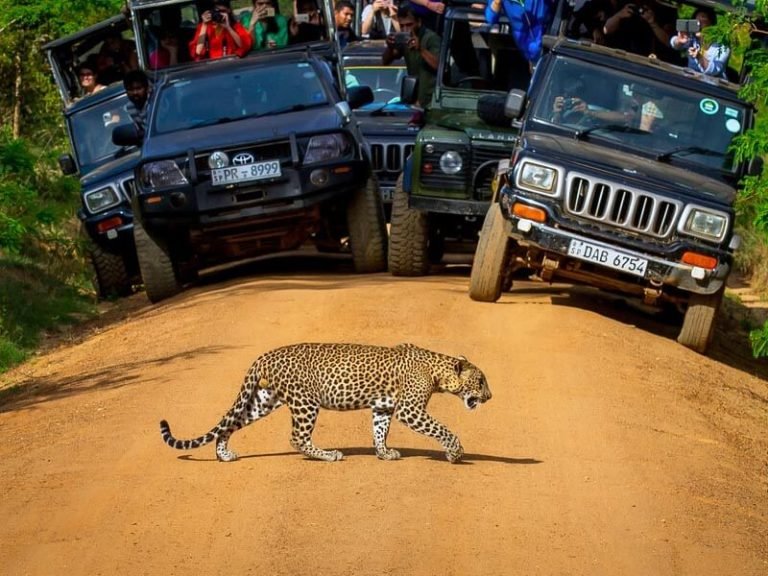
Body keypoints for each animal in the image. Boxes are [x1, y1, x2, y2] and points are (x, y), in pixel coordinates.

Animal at [160, 342, 492, 464]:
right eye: (481, 381)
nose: (490, 397)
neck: (438, 371)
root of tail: (264, 355)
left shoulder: (383, 407)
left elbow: (379, 431)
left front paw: (384, 453)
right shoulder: (410, 410)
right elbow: (442, 429)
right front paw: (455, 453)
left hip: (265, 399)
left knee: (229, 423)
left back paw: (224, 454)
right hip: (305, 403)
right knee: (297, 437)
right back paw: (329, 455)